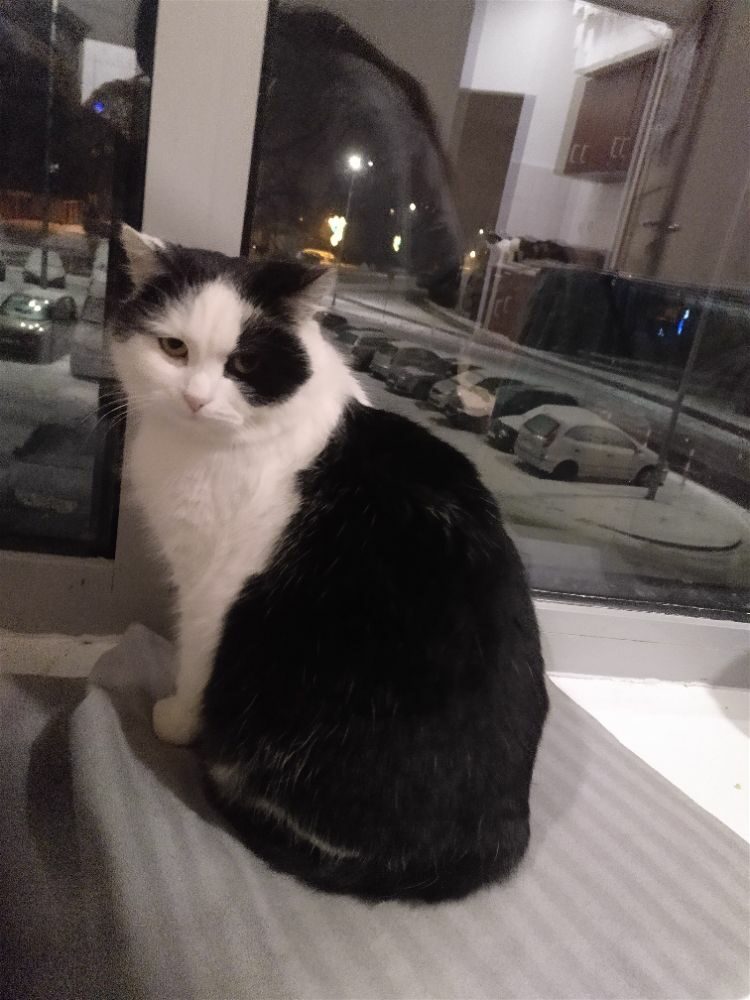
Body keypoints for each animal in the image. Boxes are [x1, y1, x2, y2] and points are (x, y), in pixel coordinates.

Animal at [113, 225, 549, 902]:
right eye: (173, 348)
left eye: (244, 364)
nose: (194, 399)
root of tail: (495, 840)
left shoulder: (214, 590)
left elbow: (195, 662)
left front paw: (179, 719)